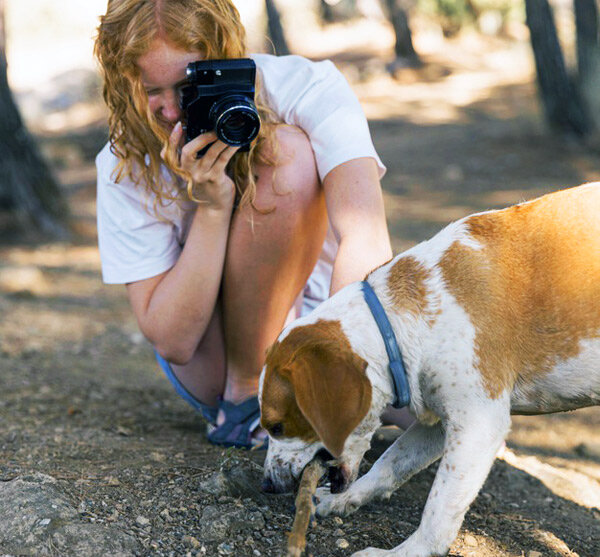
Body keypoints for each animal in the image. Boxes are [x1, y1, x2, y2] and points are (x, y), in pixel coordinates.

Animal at [258, 185, 600, 552]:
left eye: (276, 427)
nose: (266, 485)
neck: (398, 321)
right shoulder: (438, 422)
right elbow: (391, 461)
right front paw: (347, 498)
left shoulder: (478, 425)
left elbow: (439, 508)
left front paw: (406, 552)